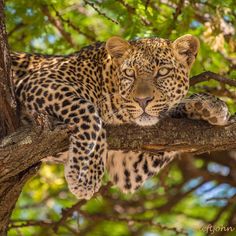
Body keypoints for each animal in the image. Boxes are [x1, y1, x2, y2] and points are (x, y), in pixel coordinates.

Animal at [10, 34, 230, 199]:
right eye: (130, 73)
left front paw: (210, 105)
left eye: (163, 72)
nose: (143, 100)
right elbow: (88, 113)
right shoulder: (40, 81)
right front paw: (85, 176)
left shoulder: (126, 165)